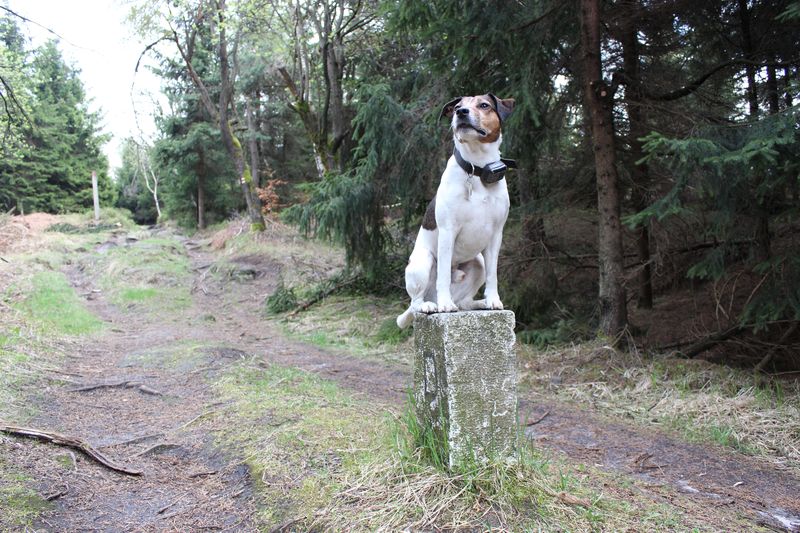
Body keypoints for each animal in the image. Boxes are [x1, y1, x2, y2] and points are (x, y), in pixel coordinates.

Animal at [396, 93, 515, 329]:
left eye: (484, 105)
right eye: (457, 107)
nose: (461, 113)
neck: (478, 169)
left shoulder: (496, 235)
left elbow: (494, 274)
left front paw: (493, 300)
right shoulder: (447, 231)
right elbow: (443, 273)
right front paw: (445, 305)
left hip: (478, 262)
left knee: (464, 302)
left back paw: (478, 303)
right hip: (423, 261)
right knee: (416, 302)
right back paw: (431, 304)